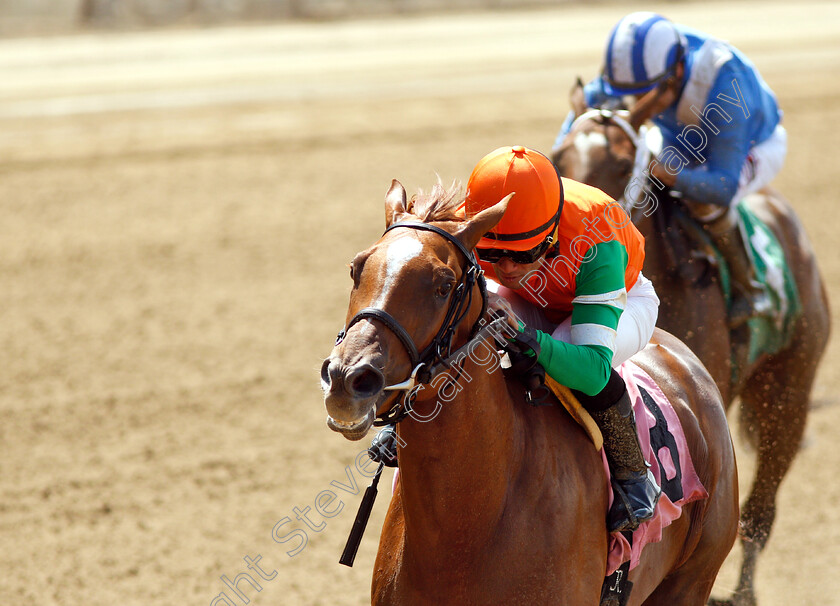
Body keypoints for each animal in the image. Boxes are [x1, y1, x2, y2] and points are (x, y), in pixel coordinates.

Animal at [320, 182, 736, 606]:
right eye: (356, 268)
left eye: (443, 285)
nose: (347, 379)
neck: (465, 529)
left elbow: (594, 368)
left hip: (690, 581)